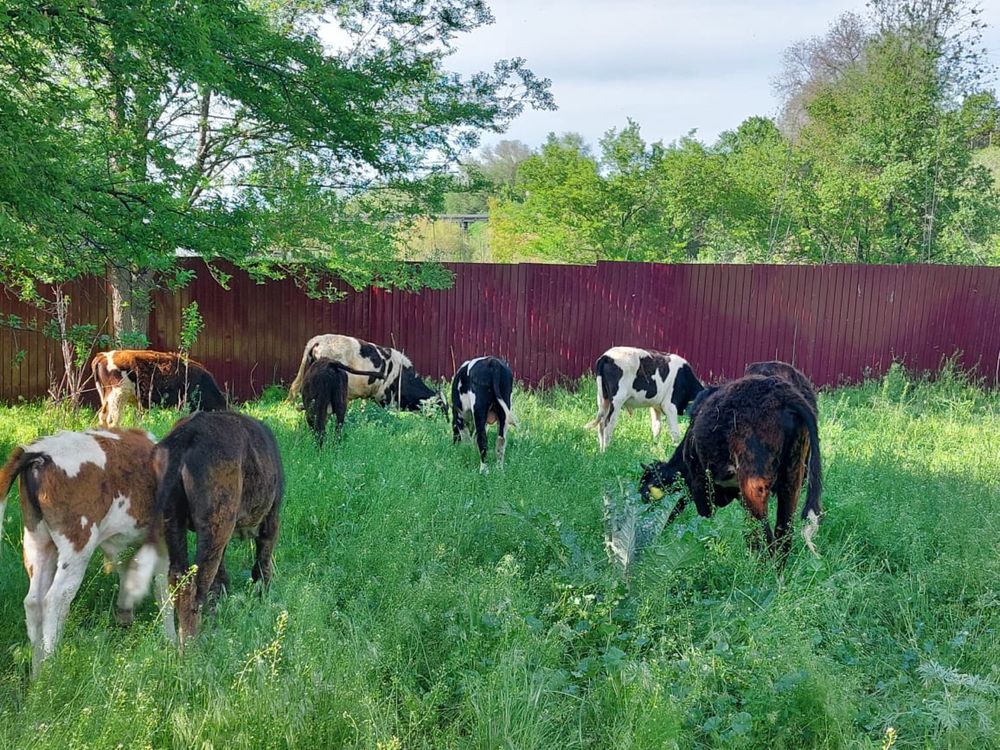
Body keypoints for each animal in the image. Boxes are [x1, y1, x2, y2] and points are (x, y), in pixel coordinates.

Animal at [0, 426, 174, 680]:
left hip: (37, 540)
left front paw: (126, 619)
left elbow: (129, 578)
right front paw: (174, 645)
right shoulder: (164, 538)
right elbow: (165, 592)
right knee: (55, 599)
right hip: (77, 545)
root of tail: (38, 451)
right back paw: (52, 673)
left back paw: (37, 676)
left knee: (34, 602)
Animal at [152, 412, 286, 648]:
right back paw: (191, 646)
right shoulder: (271, 519)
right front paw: (262, 598)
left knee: (179, 580)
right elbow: (262, 565)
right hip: (216, 527)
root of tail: (187, 435)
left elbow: (220, 578)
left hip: (174, 525)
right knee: (195, 588)